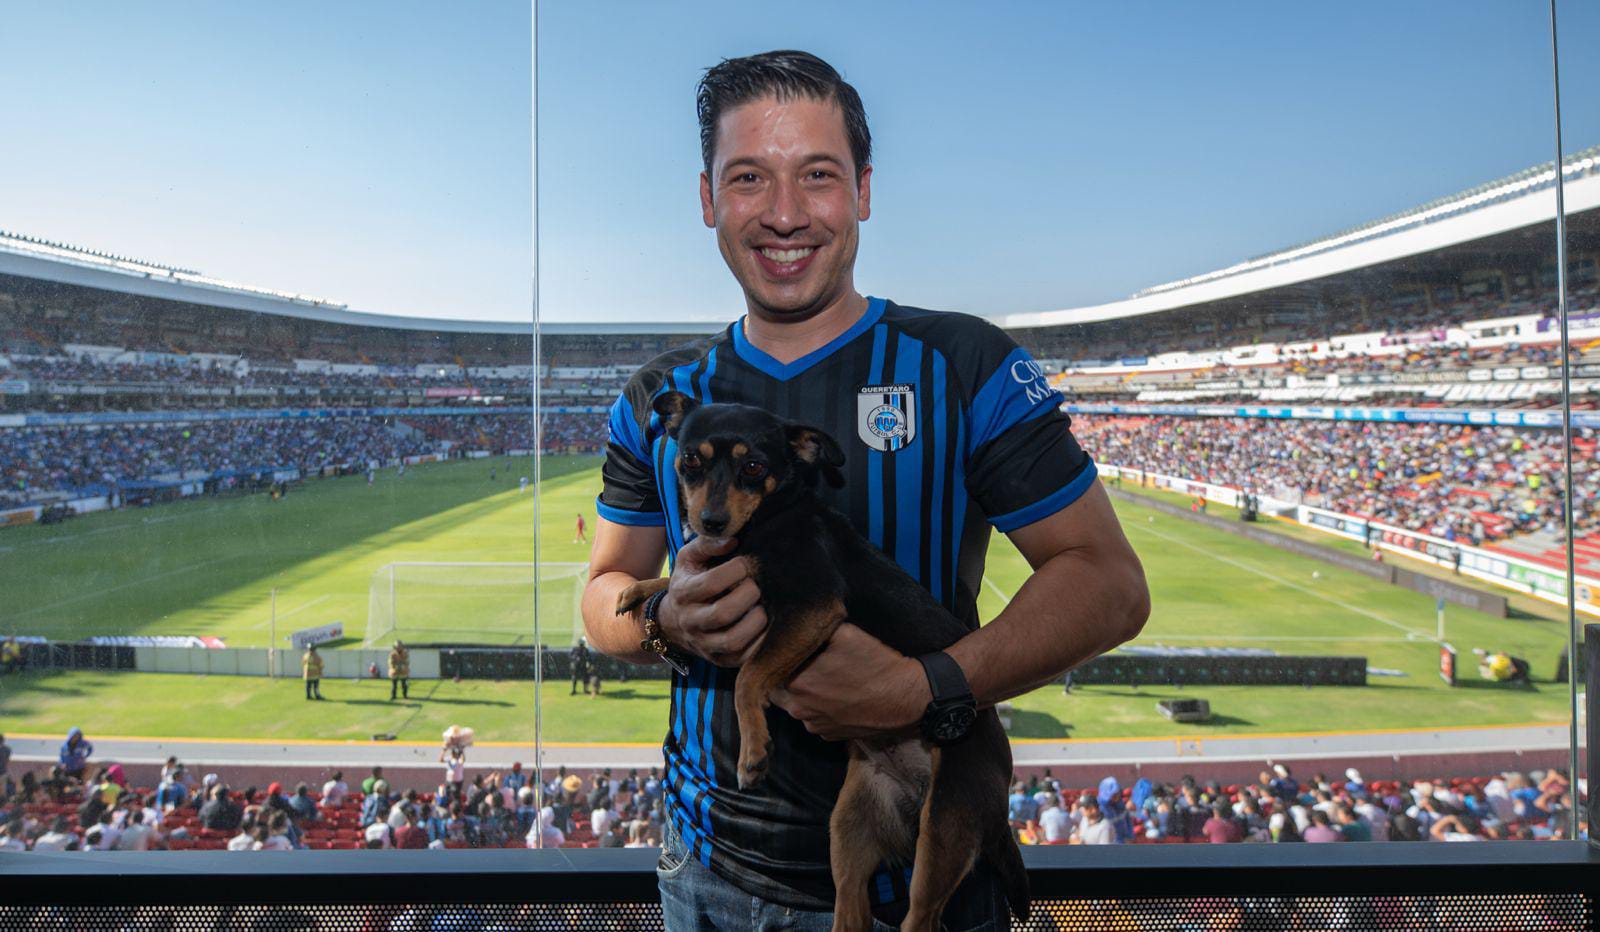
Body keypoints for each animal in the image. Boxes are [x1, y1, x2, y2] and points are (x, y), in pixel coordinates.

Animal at [611, 392, 1024, 932]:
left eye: (753, 466)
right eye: (690, 462)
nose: (710, 521)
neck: (767, 518)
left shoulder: (813, 605)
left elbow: (747, 678)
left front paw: (754, 751)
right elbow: (675, 579)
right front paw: (638, 591)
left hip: (946, 829)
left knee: (919, 917)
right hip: (848, 829)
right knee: (850, 909)